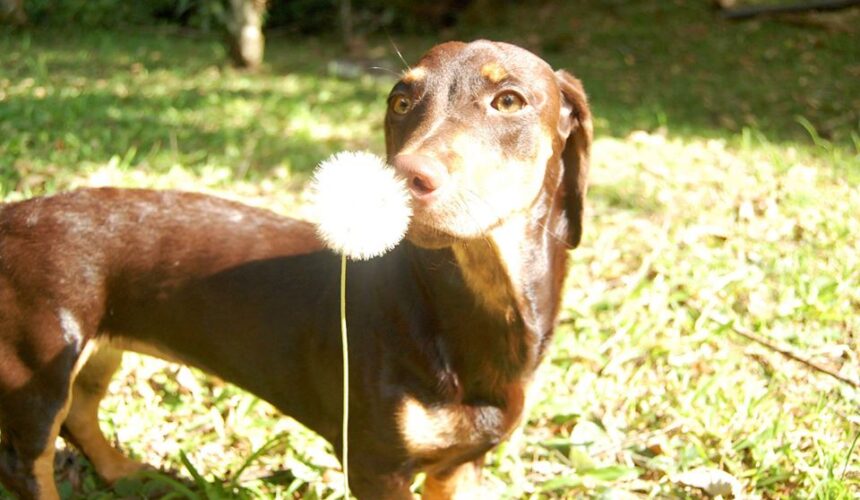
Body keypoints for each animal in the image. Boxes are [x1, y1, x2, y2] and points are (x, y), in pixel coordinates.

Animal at [0, 40, 592, 500]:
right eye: (401, 102)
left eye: (508, 100)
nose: (398, 182)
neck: (461, 311)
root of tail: (14, 213)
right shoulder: (375, 463)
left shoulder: (462, 464)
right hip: (38, 369)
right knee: (29, 462)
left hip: (97, 348)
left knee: (81, 413)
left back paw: (124, 472)